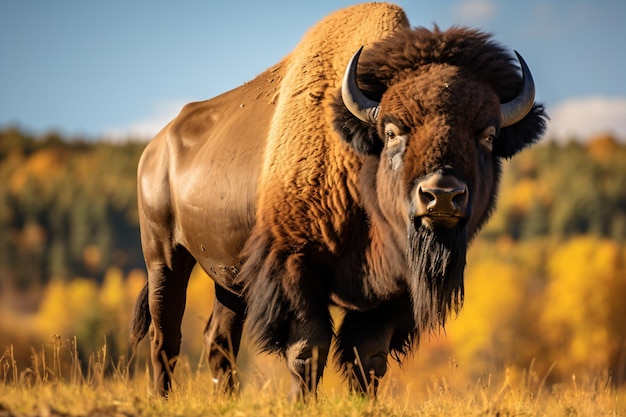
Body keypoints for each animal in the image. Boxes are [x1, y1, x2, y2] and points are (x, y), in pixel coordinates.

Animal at [129, 4, 544, 400]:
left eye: (488, 136)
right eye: (392, 131)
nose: (441, 194)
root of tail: (156, 146)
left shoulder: (392, 291)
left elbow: (368, 358)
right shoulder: (295, 267)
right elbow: (308, 351)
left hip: (229, 279)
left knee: (219, 340)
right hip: (165, 258)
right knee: (165, 336)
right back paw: (161, 398)